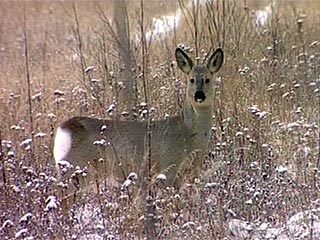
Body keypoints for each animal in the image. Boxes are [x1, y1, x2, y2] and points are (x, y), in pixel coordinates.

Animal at [53, 47, 222, 200]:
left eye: (207, 79)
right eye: (191, 79)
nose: (199, 95)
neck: (188, 134)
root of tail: (64, 128)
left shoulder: (189, 172)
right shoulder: (168, 167)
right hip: (76, 168)